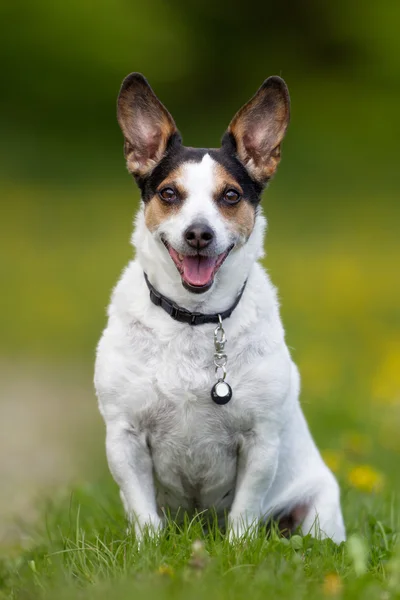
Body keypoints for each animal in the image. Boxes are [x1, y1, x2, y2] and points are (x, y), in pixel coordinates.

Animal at [94, 72, 346, 540]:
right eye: (169, 193)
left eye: (229, 196)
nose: (198, 234)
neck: (195, 318)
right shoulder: (124, 437)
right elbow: (143, 512)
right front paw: (147, 550)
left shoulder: (261, 441)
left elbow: (244, 512)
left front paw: (238, 548)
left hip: (318, 509)